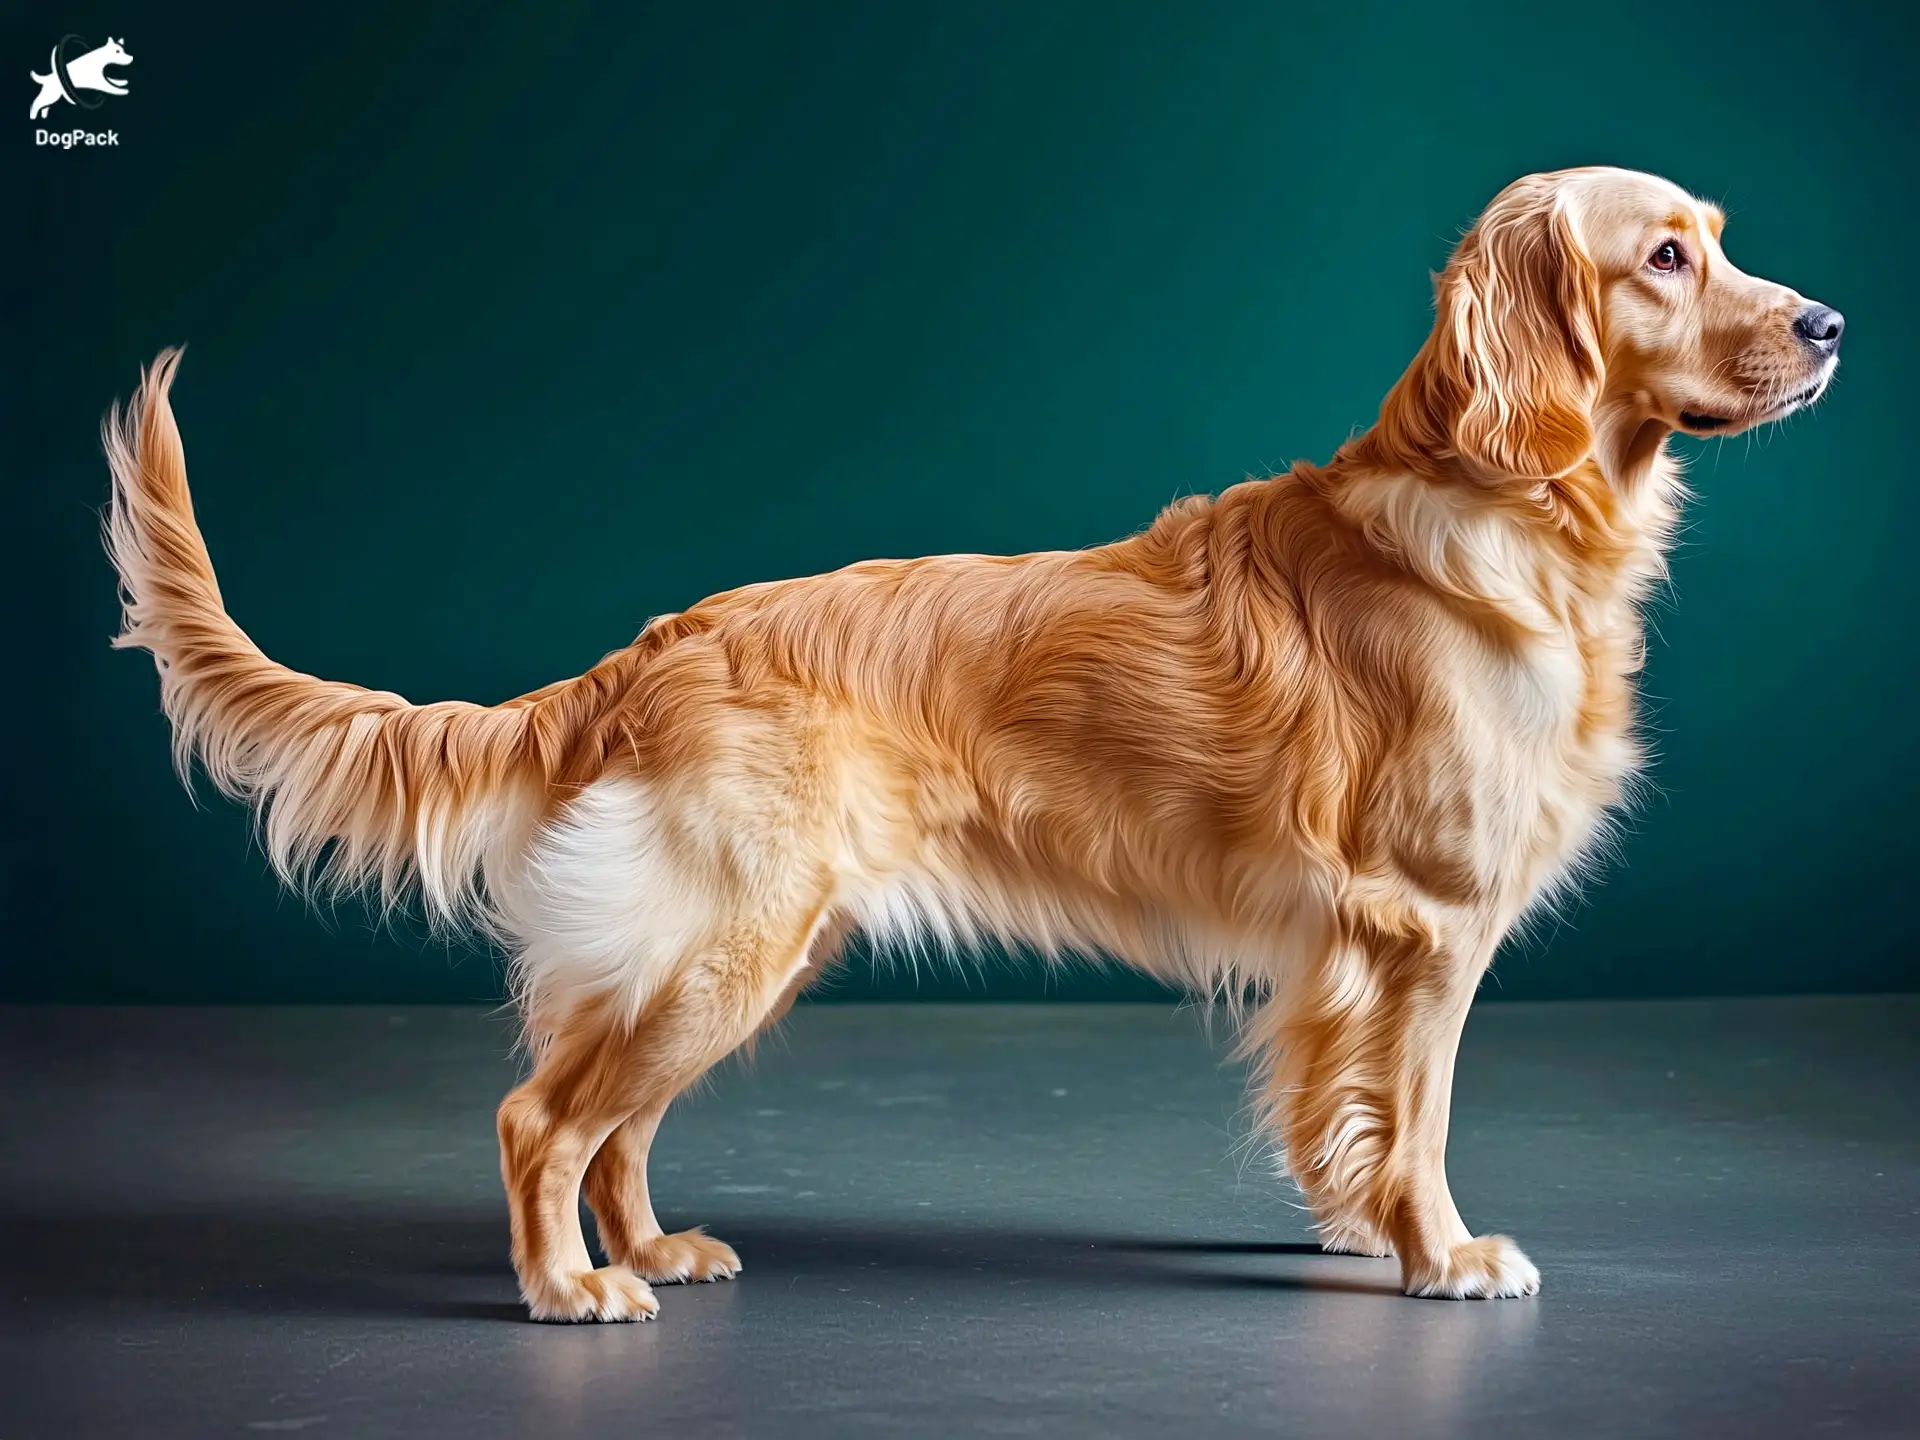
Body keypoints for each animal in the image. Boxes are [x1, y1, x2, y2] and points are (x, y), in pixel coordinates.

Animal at [105, 166, 1843, 1320]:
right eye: (1667, 256)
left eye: (1727, 243)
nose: (1831, 322)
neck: (1507, 511)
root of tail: (656, 647)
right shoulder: (1425, 925)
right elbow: (1414, 1118)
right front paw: (1443, 1253)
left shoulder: (1358, 952)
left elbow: (1343, 1115)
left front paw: (1359, 1233)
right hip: (733, 936)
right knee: (544, 1117)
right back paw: (573, 1291)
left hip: (746, 948)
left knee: (615, 1123)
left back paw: (654, 1247)